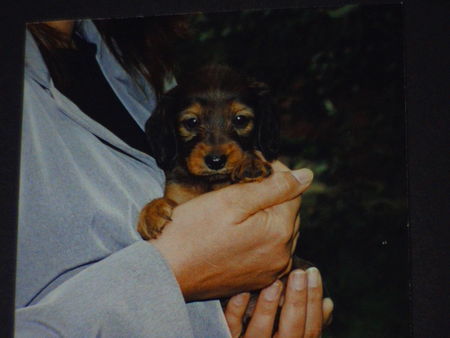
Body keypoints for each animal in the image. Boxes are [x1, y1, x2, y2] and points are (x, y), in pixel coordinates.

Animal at [137, 64, 280, 240]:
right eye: (191, 122)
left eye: (240, 119)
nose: (216, 161)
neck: (211, 182)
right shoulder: (180, 194)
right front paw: (152, 210)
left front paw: (250, 163)